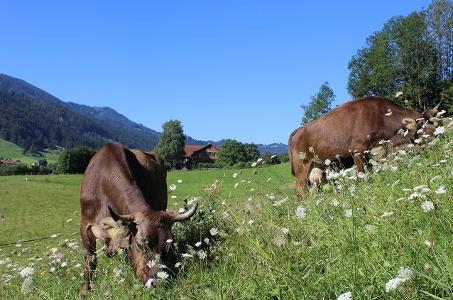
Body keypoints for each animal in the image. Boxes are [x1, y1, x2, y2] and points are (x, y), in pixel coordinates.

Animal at [79, 144, 196, 296]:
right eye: (141, 244)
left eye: (168, 247)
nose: (155, 282)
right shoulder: (85, 225)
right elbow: (90, 260)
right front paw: (85, 290)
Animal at [288, 97, 440, 193]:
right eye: (425, 126)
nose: (439, 138)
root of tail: (297, 130)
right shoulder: (358, 149)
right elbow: (360, 175)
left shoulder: (372, 151)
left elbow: (370, 172)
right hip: (301, 166)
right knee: (300, 190)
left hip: (317, 166)